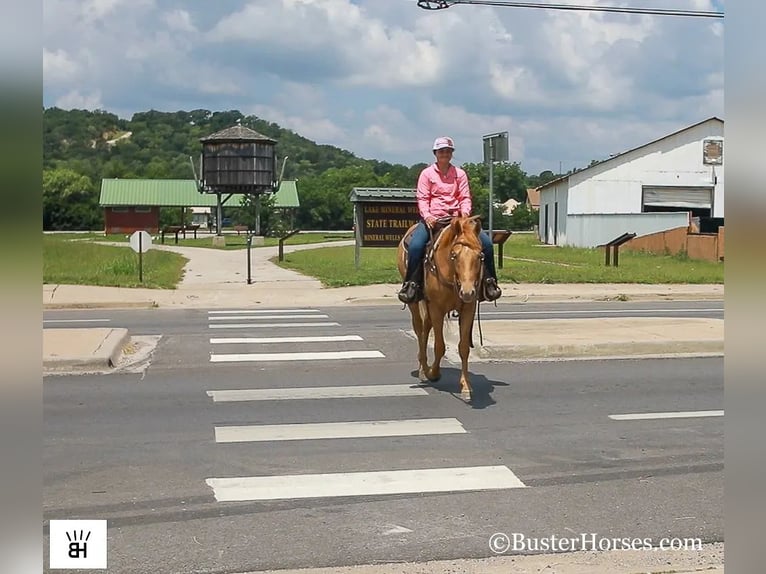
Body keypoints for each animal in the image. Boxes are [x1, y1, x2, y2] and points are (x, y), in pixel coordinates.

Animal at [400, 217, 484, 404]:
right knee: (420, 330)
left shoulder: (468, 309)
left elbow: (464, 348)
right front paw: (433, 373)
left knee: (426, 328)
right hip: (415, 304)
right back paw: (423, 369)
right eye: (454, 255)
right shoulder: (436, 308)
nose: (468, 292)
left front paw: (466, 386)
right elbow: (439, 346)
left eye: (480, 256)